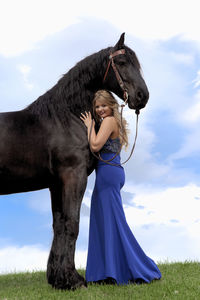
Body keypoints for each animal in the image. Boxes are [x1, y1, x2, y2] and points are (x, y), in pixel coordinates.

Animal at [0, 33, 148, 290]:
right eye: (121, 63)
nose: (142, 96)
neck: (64, 117)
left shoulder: (56, 183)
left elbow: (59, 224)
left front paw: (58, 278)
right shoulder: (73, 176)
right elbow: (72, 224)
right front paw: (73, 279)